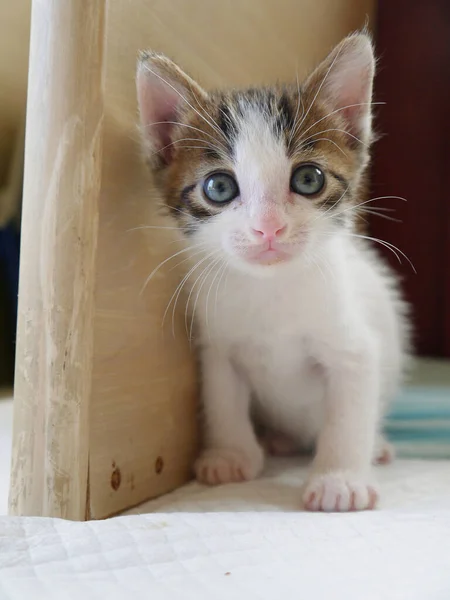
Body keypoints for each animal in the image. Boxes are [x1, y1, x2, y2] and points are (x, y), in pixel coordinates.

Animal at [136, 32, 412, 510]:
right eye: (219, 187)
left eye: (308, 179)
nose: (268, 227)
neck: (272, 290)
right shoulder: (218, 344)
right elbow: (223, 400)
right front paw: (230, 456)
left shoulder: (354, 349)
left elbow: (348, 416)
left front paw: (339, 479)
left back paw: (374, 447)